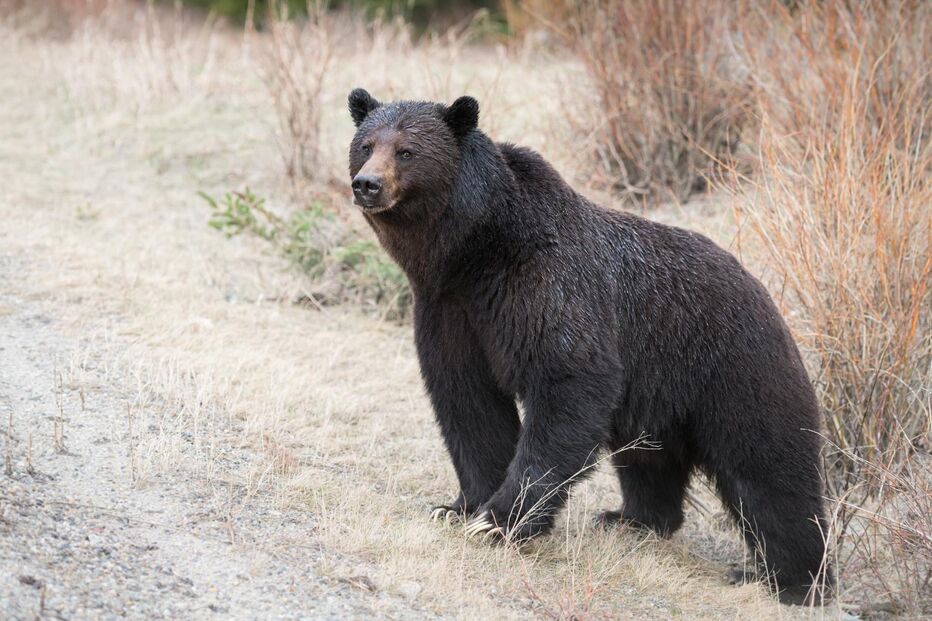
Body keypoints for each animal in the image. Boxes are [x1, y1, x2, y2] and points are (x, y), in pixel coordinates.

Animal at [346, 88, 833, 605]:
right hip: (659, 392)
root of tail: (768, 297)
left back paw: (792, 579)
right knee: (649, 460)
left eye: (406, 151)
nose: (367, 184)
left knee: (767, 471)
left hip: (735, 369)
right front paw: (460, 505)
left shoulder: (548, 287)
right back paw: (631, 518)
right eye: (366, 144)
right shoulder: (450, 311)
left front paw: (500, 520)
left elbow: (568, 384)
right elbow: (468, 402)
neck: (472, 251)